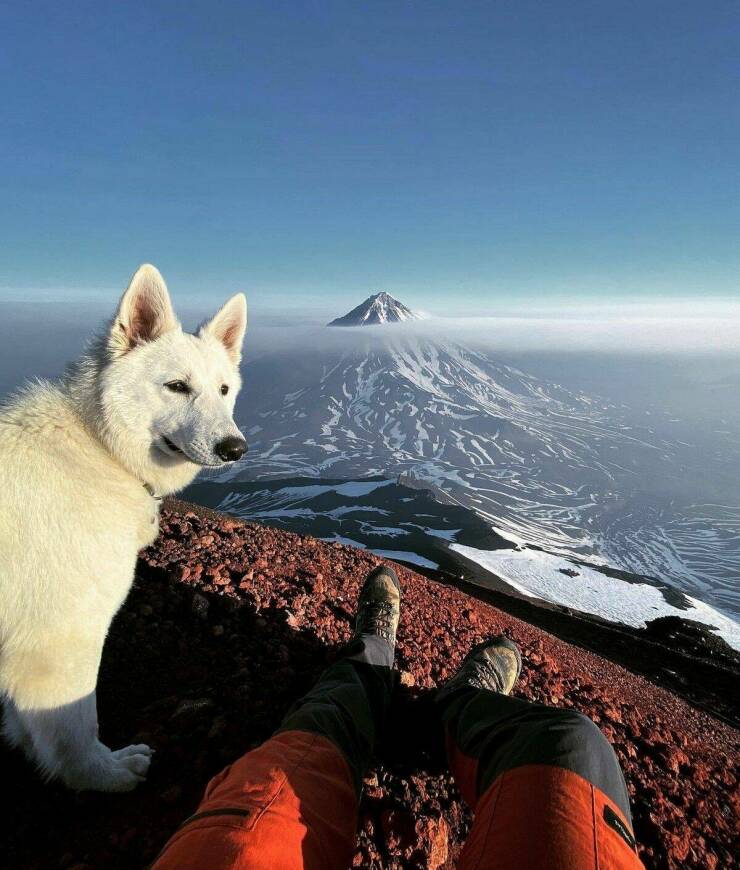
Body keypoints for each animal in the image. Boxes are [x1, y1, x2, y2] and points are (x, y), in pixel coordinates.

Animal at [0, 266, 249, 792]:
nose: (235, 449)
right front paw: (101, 775)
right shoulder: (58, 645)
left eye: (223, 389)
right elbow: (74, 727)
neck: (99, 447)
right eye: (176, 386)